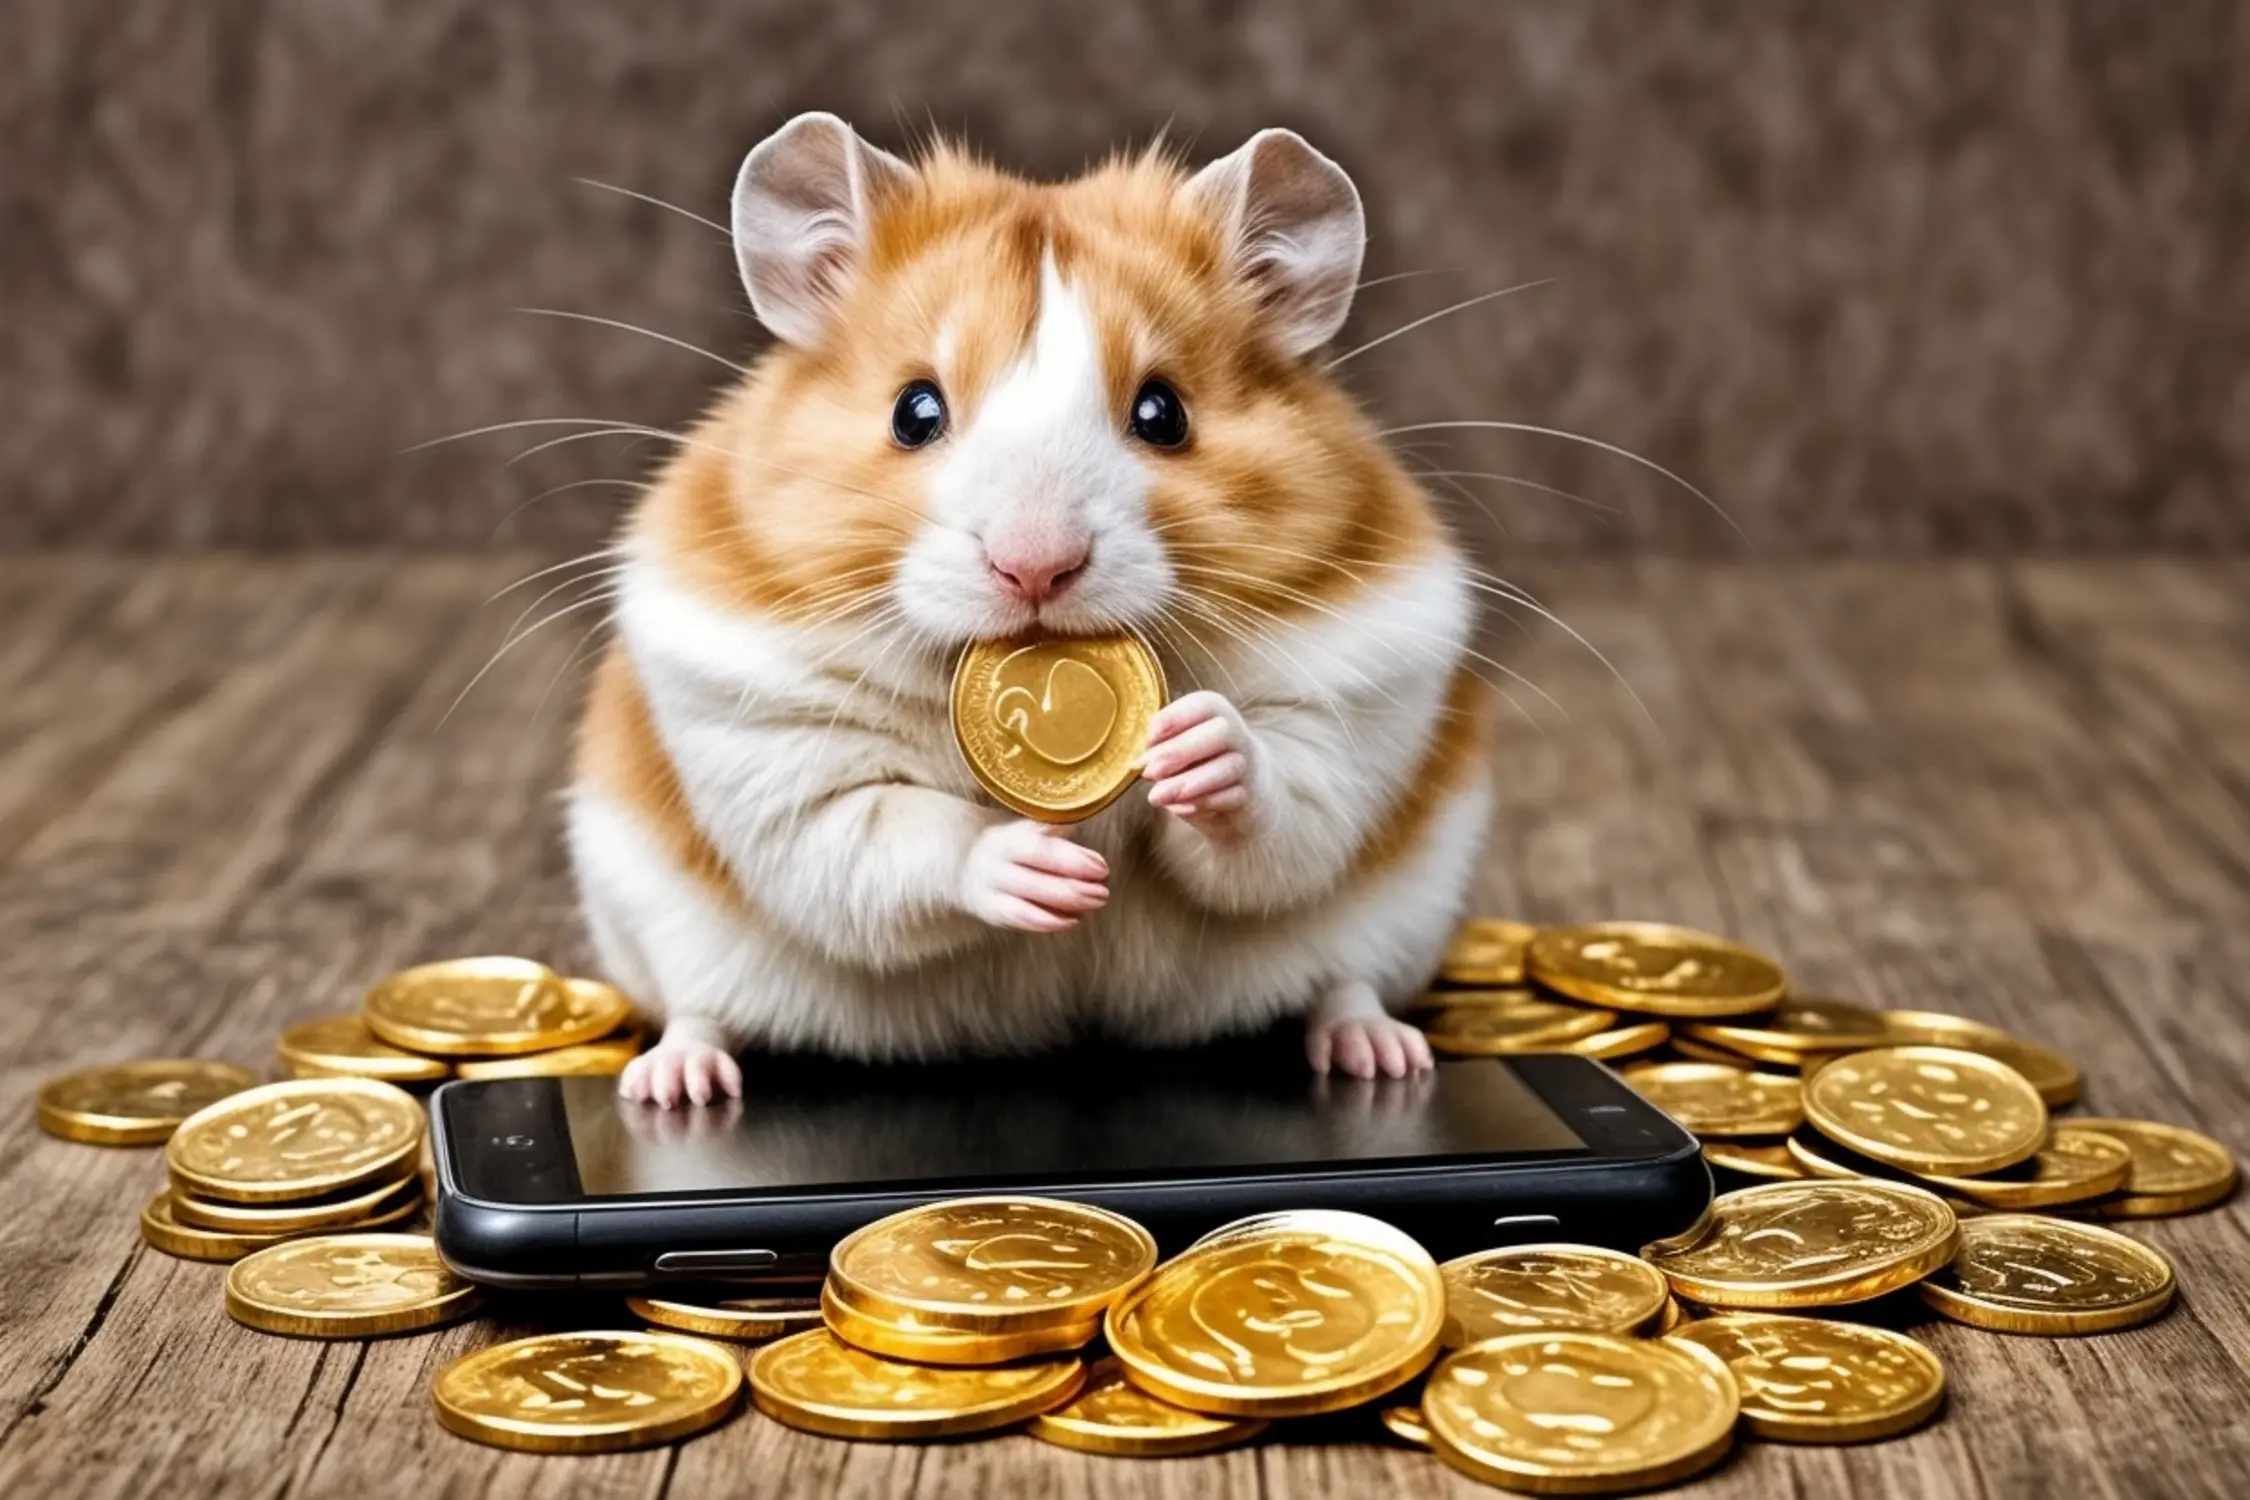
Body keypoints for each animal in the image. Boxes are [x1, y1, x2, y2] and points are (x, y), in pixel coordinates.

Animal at [569, 113, 1494, 1107]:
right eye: (914, 412)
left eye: (1163, 413)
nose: (1036, 569)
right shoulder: (782, 762)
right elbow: (895, 833)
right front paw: (1049, 873)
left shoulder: (1347, 716)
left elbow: (1282, 808)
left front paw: (1198, 746)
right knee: (697, 1009)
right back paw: (674, 1083)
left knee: (1345, 982)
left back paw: (1382, 1054)